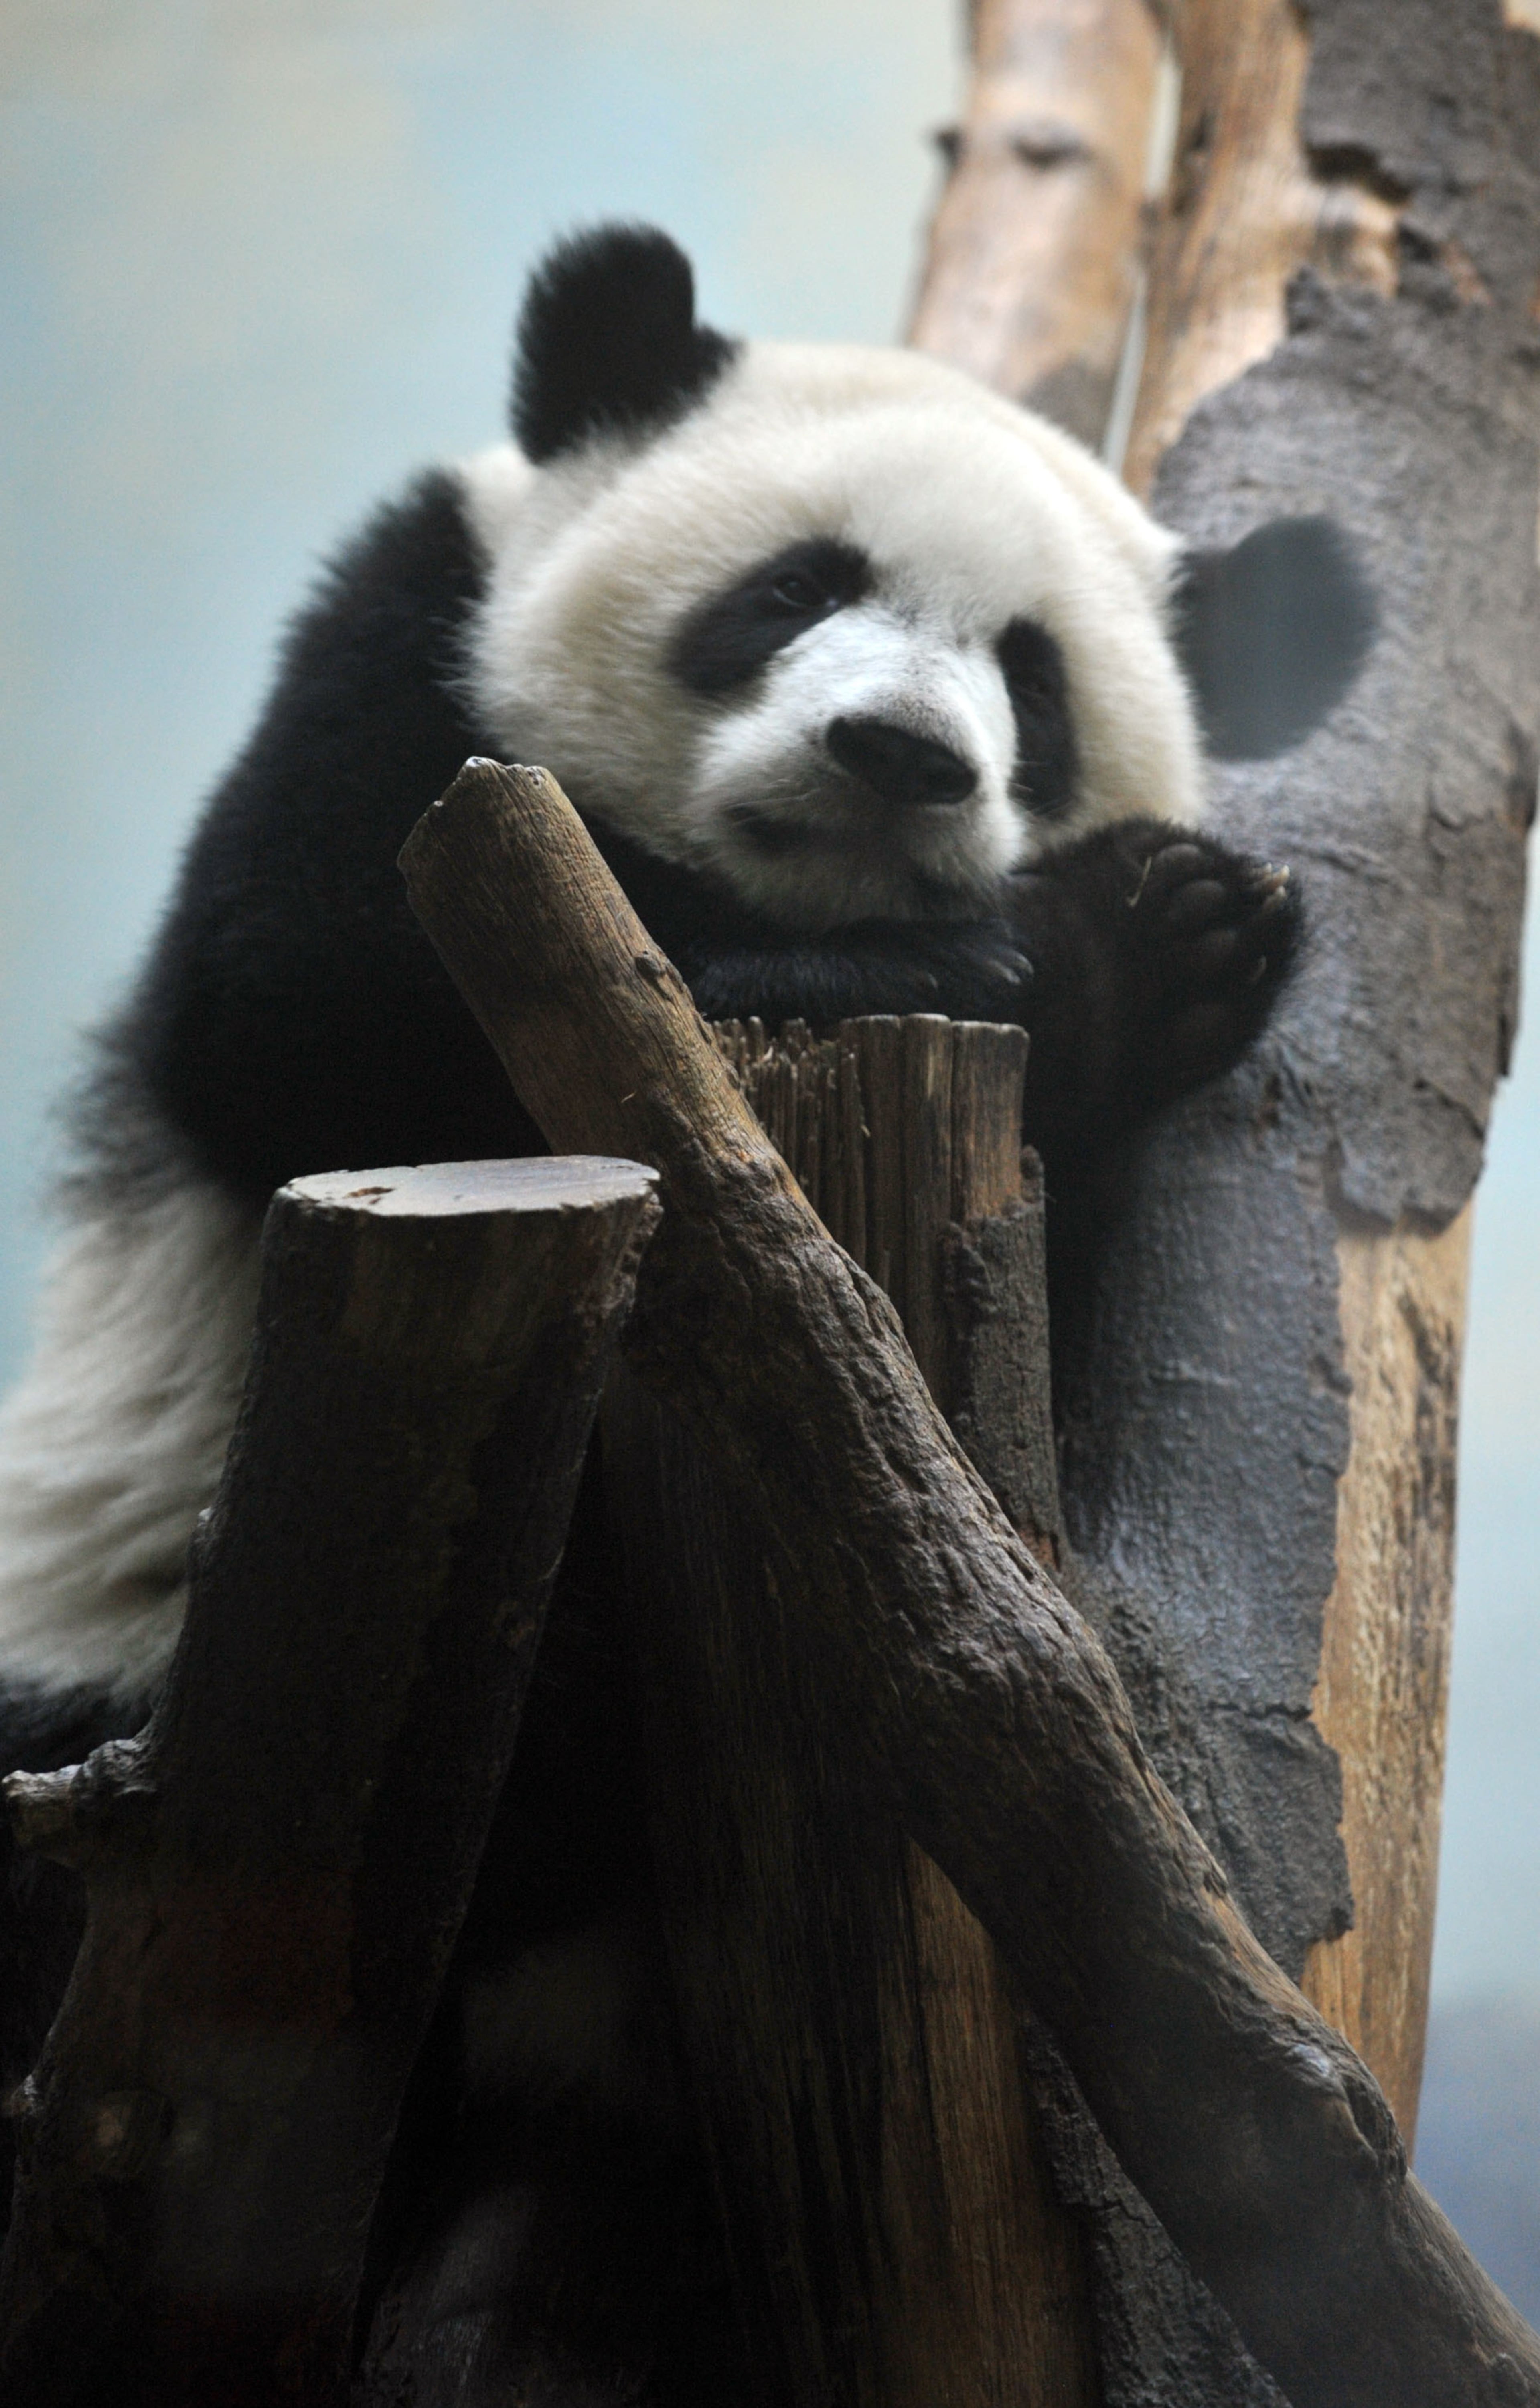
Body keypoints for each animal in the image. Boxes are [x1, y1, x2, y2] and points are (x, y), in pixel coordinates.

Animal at [0, 226, 1371, 2395]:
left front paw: (1164, 941)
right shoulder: (409, 650)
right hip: (102, 1699)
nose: (899, 756)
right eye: (794, 589)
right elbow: (312, 996)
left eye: (1033, 678)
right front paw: (1050, 955)